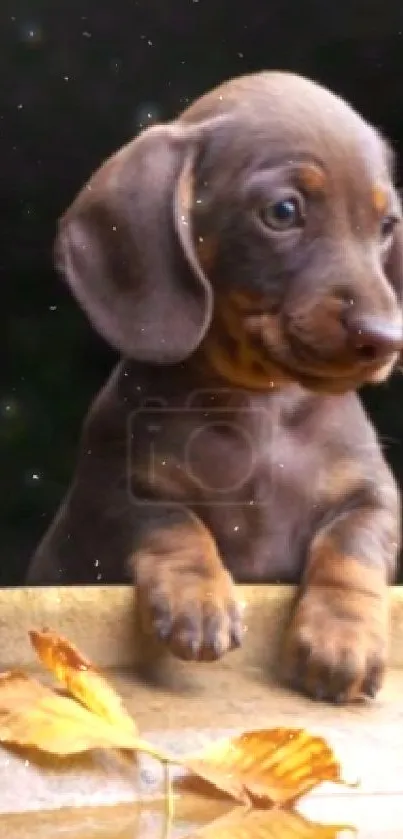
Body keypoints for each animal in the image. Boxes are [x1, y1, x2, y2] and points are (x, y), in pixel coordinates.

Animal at [26, 70, 403, 704]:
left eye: (386, 226)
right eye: (283, 211)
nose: (385, 338)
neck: (260, 402)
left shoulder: (372, 494)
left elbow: (352, 543)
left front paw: (343, 637)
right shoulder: (109, 489)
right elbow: (172, 520)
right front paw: (198, 597)